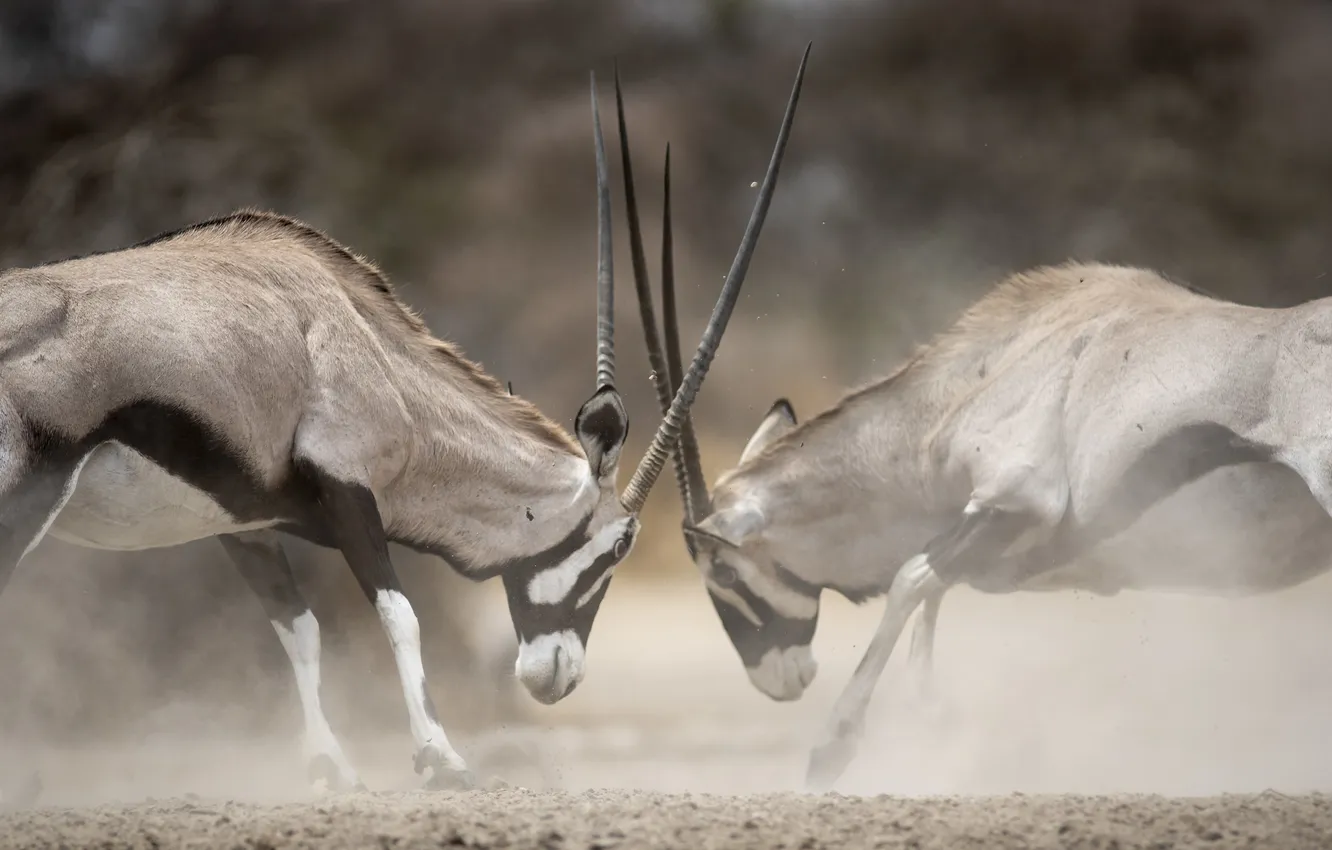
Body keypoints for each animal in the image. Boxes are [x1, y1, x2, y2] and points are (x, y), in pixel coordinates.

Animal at [0, 48, 808, 800]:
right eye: (616, 547)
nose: (557, 676)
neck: (370, 351)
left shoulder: (242, 523)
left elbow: (298, 629)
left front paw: (331, 769)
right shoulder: (348, 490)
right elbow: (400, 615)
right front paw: (442, 760)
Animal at [624, 236, 1332, 791]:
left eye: (722, 574)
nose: (779, 680)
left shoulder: (1018, 498)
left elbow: (911, 579)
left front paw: (833, 748)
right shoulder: (994, 541)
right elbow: (934, 587)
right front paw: (944, 721)